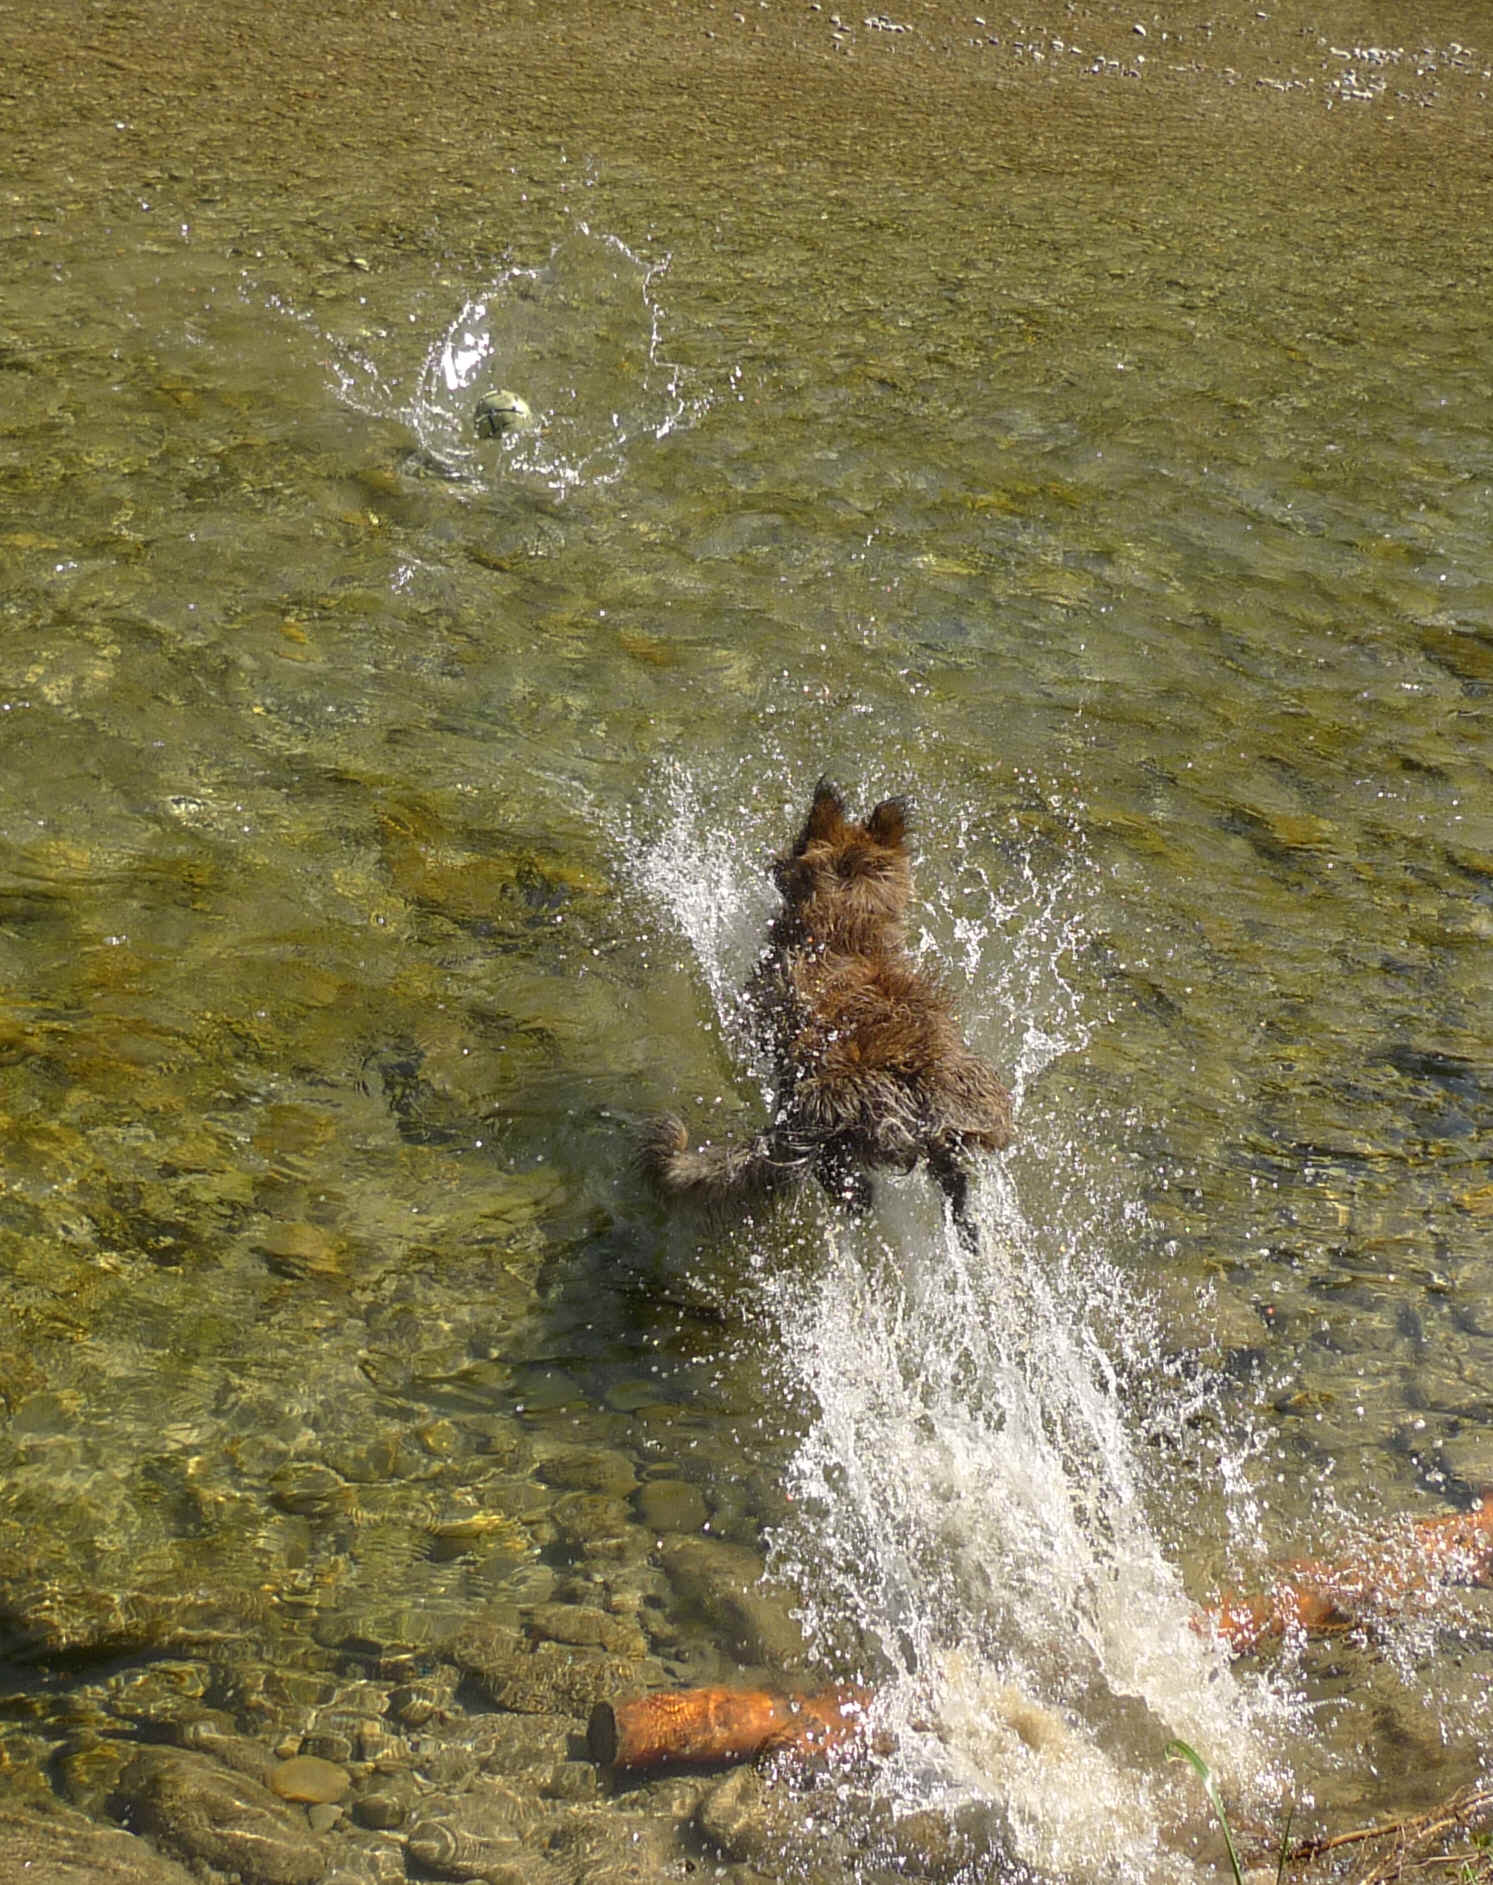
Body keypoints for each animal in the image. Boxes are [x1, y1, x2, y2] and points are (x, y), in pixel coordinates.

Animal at [640, 780, 1017, 1251]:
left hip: (820, 1104)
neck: (848, 927)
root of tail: (914, 1092)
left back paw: (854, 1196)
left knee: (827, 1166)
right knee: (952, 1177)